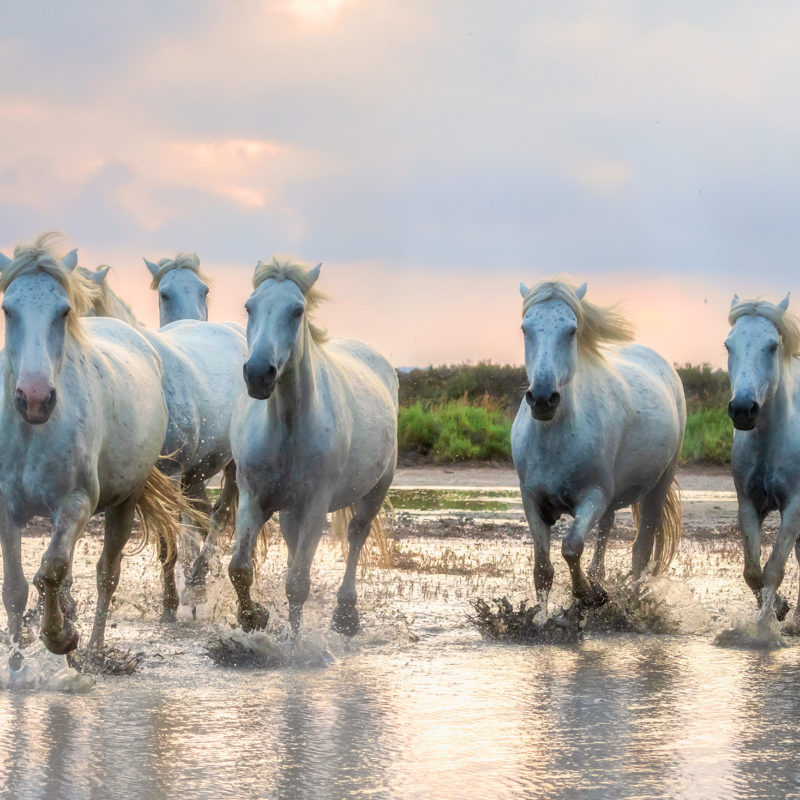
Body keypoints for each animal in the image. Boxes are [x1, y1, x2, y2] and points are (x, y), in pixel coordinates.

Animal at [0, 234, 194, 661]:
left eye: (63, 311)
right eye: (7, 309)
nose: (34, 398)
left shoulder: (77, 502)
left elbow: (52, 570)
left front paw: (61, 636)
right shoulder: (6, 510)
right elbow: (16, 589)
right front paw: (17, 661)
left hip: (124, 503)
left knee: (107, 573)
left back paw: (92, 648)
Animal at [81, 266, 246, 618]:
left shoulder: (167, 474)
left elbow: (167, 541)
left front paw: (170, 605)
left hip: (232, 467)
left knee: (220, 514)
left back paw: (199, 584)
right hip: (196, 472)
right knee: (201, 516)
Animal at [223, 257, 397, 636]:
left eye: (297, 310)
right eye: (249, 306)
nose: (258, 373)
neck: (287, 427)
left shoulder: (316, 504)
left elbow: (298, 584)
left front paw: (296, 642)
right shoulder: (252, 497)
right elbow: (240, 568)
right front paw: (253, 618)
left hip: (377, 488)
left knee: (356, 535)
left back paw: (346, 614)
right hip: (290, 509)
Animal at [511, 280, 685, 619]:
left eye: (571, 330)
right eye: (525, 329)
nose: (543, 398)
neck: (556, 440)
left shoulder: (593, 496)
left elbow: (571, 547)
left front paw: (591, 595)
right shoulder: (531, 499)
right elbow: (543, 567)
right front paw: (539, 619)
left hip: (658, 485)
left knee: (641, 550)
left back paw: (632, 601)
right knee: (605, 532)